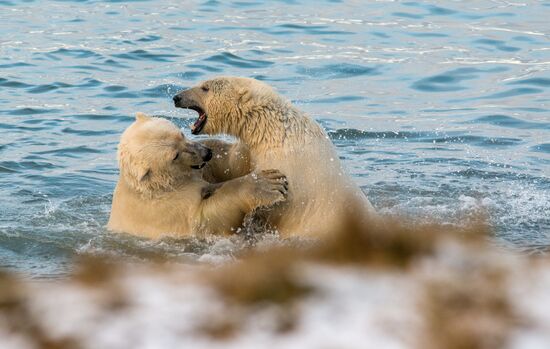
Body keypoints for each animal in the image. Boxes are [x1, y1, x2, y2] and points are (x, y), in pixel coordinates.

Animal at [106, 113, 288, 238]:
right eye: (175, 155)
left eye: (181, 134)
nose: (206, 154)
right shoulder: (168, 208)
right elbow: (206, 218)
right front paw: (269, 184)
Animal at [175, 76, 378, 237]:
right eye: (201, 83)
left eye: (205, 88)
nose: (177, 97)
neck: (274, 129)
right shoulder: (252, 149)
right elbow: (233, 163)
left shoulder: (286, 165)